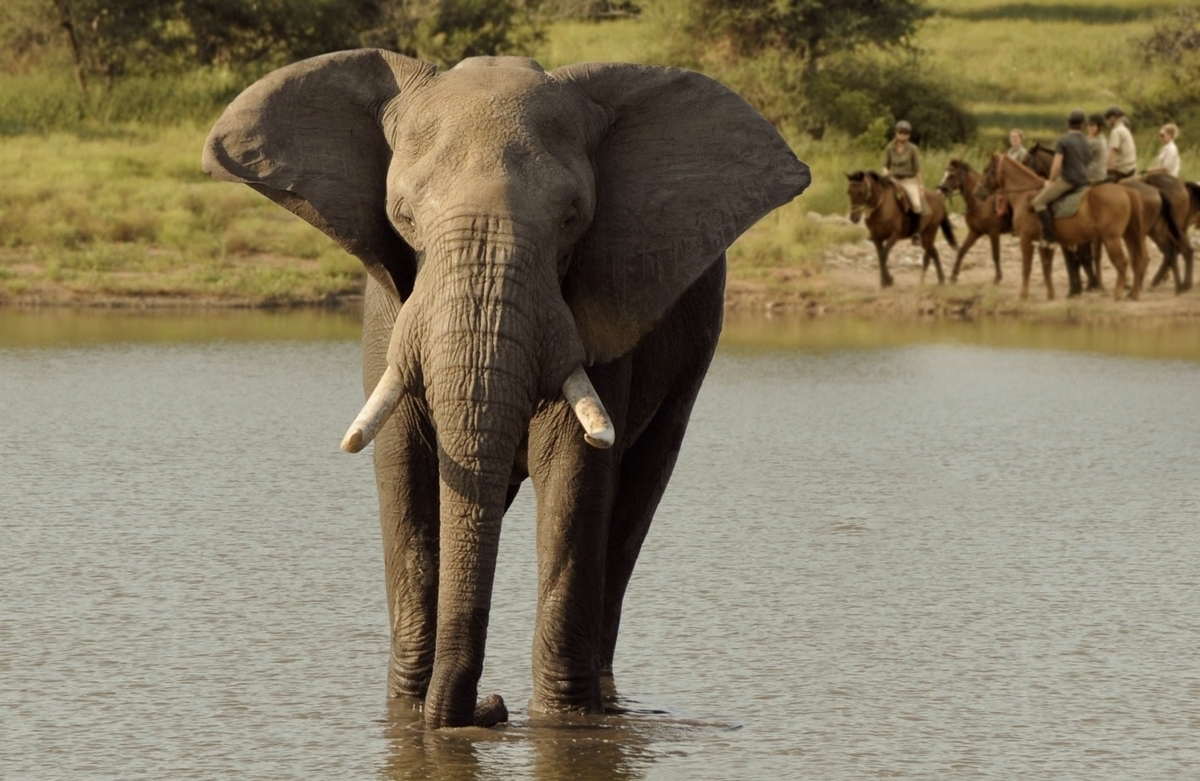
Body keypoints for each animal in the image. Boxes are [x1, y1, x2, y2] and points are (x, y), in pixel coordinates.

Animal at [201, 50, 811, 729]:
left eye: (572, 219)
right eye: (403, 216)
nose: (488, 708)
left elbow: (575, 471)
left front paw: (559, 723)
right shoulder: (391, 312)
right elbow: (404, 470)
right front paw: (408, 716)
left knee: (639, 493)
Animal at [988, 151, 1147, 301]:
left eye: (987, 170)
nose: (981, 192)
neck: (1027, 196)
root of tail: (1125, 190)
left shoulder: (1027, 239)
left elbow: (1028, 267)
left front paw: (1023, 295)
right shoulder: (1045, 243)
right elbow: (1048, 267)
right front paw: (1052, 294)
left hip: (1111, 239)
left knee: (1122, 263)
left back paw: (1118, 293)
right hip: (1128, 235)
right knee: (1136, 261)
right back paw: (1133, 293)